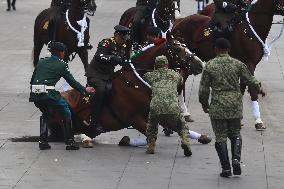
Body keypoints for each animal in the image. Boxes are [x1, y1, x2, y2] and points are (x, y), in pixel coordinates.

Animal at [172, 0, 284, 128]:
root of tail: (179, 22)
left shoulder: (246, 65)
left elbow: (241, 88)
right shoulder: (249, 64)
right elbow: (252, 89)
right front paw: (258, 121)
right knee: (181, 84)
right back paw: (185, 113)